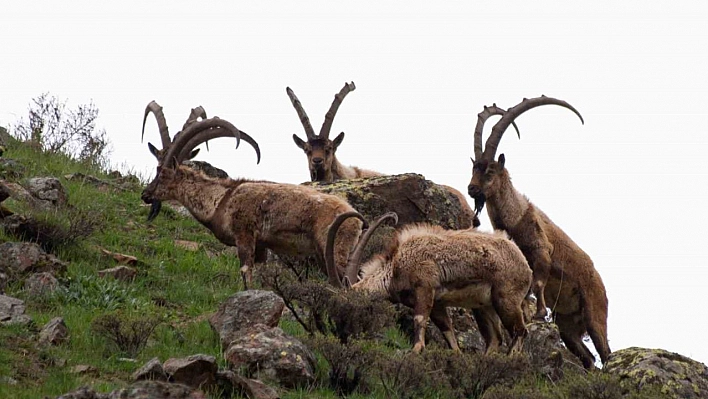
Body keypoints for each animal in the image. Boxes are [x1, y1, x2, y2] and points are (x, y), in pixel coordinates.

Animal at [142, 114, 368, 290]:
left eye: (162, 174)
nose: (145, 194)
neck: (220, 200)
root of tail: (356, 219)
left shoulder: (245, 236)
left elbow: (246, 273)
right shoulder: (261, 247)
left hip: (335, 249)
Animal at [326, 212, 532, 356]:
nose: (343, 329)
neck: (396, 268)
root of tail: (525, 265)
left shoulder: (424, 288)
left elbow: (419, 320)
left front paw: (416, 350)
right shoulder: (438, 304)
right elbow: (447, 330)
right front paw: (457, 355)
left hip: (505, 299)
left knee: (520, 331)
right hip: (483, 307)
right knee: (495, 338)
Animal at [470, 97, 608, 368]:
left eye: (489, 171)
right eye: (473, 169)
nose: (471, 189)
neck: (515, 217)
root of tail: (602, 285)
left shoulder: (542, 250)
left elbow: (539, 282)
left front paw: (539, 313)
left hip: (595, 314)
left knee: (605, 351)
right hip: (568, 325)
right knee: (587, 356)